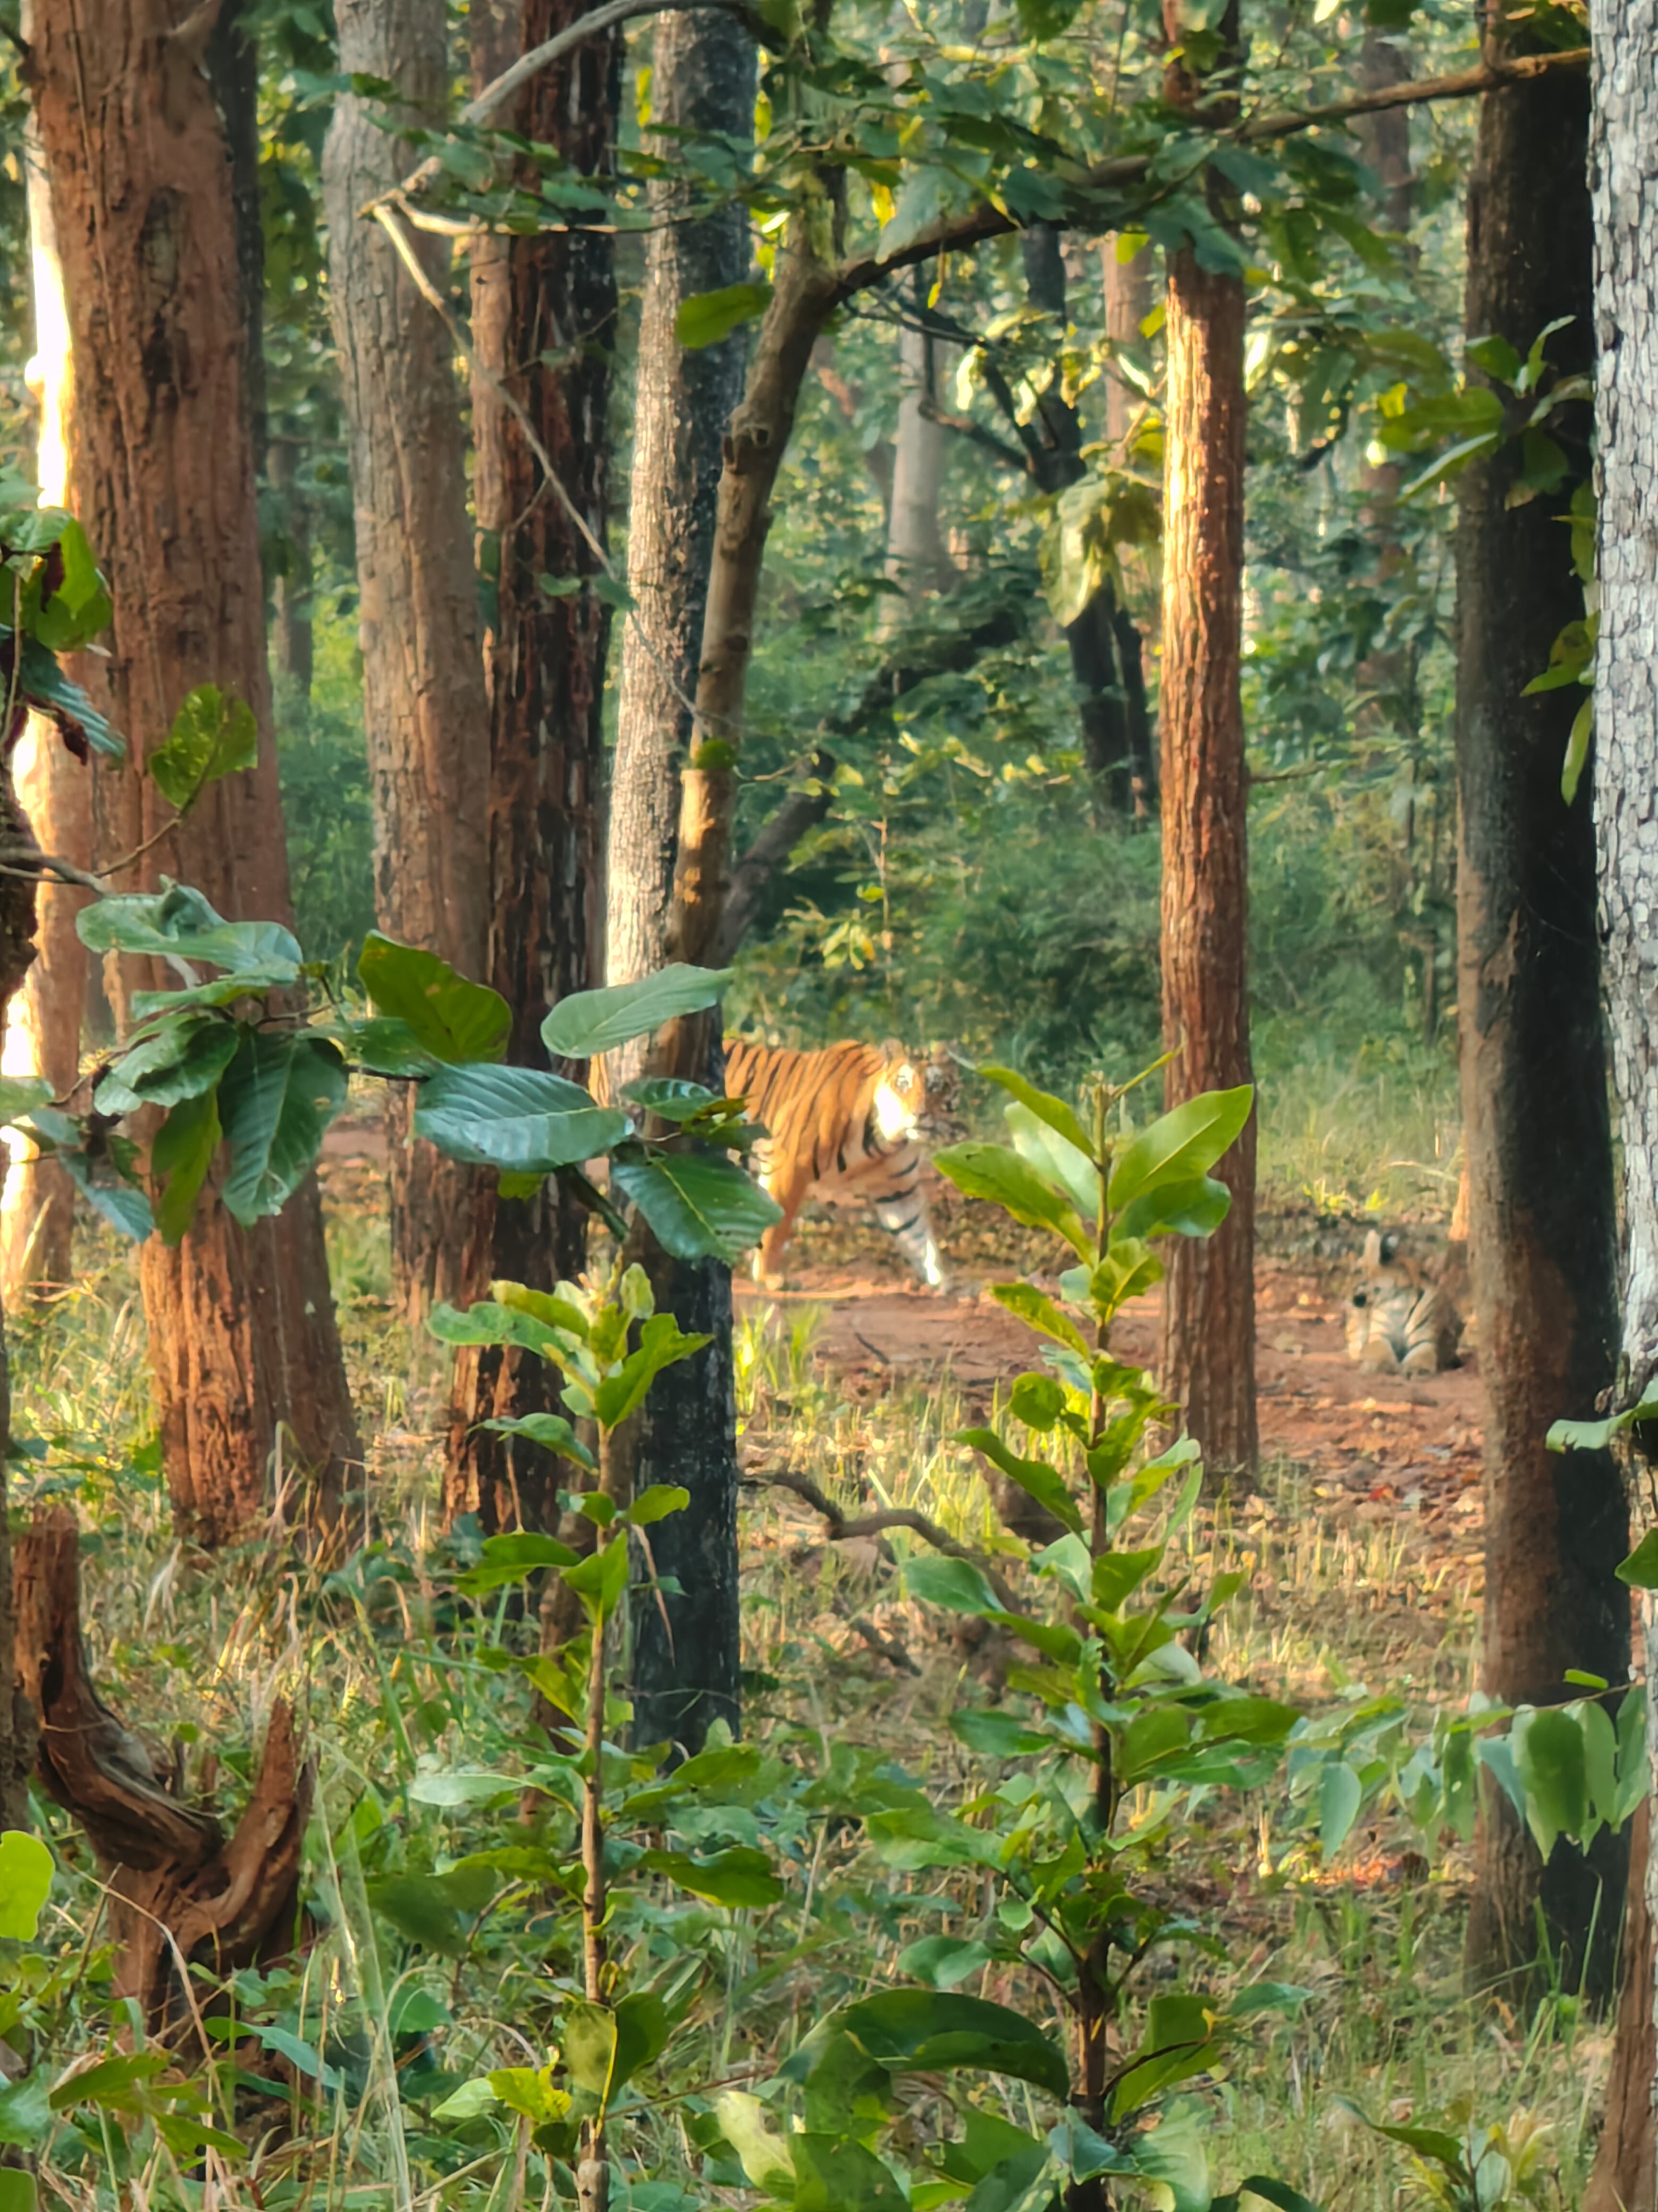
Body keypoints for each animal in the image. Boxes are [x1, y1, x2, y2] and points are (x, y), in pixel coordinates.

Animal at [721, 1037, 964, 1291]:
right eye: (903, 1083)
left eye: (937, 1086)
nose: (919, 1114)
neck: (887, 1143)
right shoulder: (788, 1165)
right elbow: (776, 1226)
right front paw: (768, 1277)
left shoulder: (898, 1189)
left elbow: (920, 1237)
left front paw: (943, 1282)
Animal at [1344, 1228, 1463, 1377]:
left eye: (1356, 1272)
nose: (1345, 1296)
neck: (1398, 1303)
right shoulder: (1378, 1335)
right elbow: (1379, 1350)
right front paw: (1382, 1365)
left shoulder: (1425, 1341)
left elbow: (1421, 1357)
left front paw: (1416, 1369)